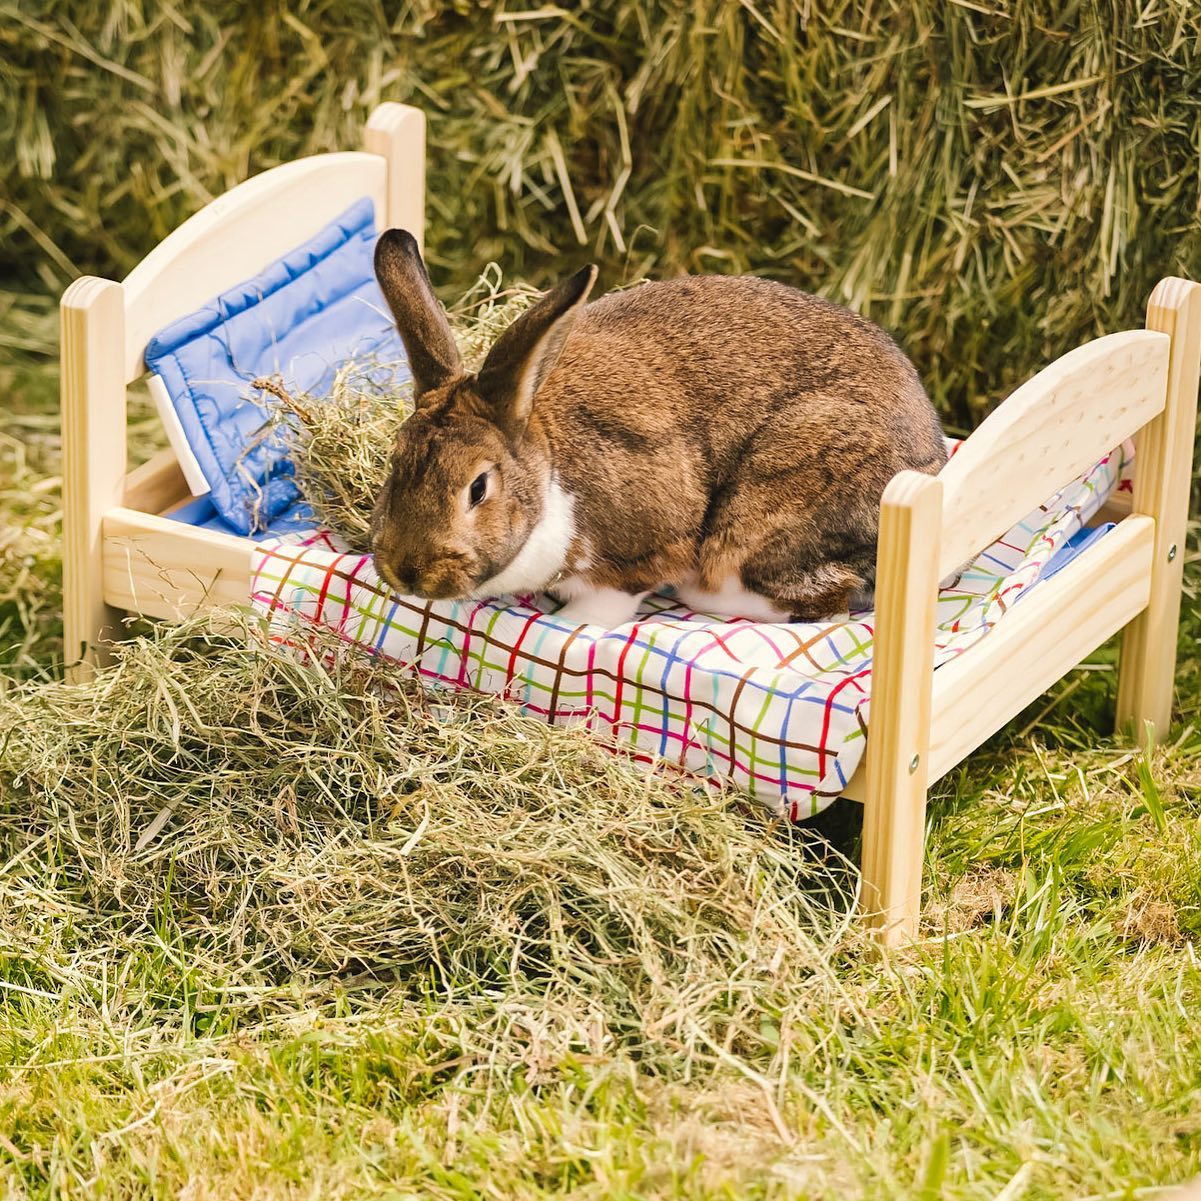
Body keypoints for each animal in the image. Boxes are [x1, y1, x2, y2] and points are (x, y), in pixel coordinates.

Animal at [369, 229, 946, 628]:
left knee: (821, 598)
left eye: (478, 488)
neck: (550, 471)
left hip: (771, 506)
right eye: (395, 462)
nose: (407, 572)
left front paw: (572, 622)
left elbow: (607, 604)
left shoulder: (647, 549)